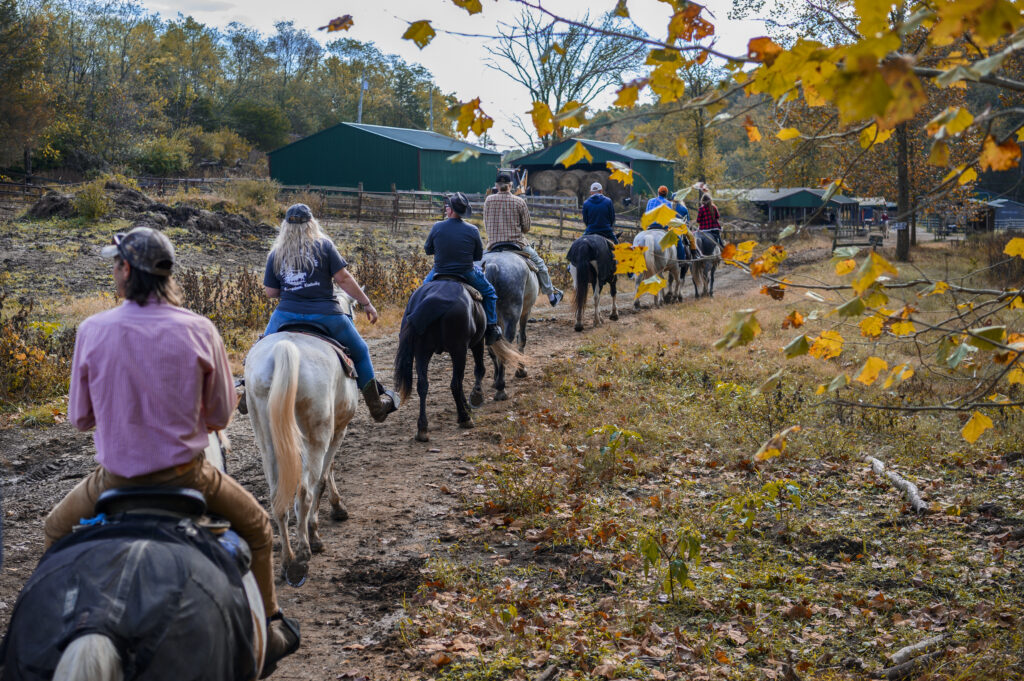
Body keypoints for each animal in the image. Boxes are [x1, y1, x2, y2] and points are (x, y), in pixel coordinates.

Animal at [244, 330, 358, 587]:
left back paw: (288, 561)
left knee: (277, 499)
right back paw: (303, 556)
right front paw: (325, 523)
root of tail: (284, 349)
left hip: (267, 440)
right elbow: (323, 479)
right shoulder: (338, 431)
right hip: (317, 435)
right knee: (305, 492)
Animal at [394, 279, 525, 443]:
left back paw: (422, 429)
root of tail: (431, 299)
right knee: (455, 384)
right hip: (459, 349)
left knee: (423, 386)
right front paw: (476, 396)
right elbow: (479, 370)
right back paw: (464, 418)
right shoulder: (477, 343)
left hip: (422, 352)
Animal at [481, 249, 539, 401]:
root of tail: (492, 266)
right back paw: (501, 389)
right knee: (507, 344)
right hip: (512, 316)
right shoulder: (526, 311)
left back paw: (497, 382)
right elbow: (522, 338)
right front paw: (521, 370)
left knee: (493, 347)